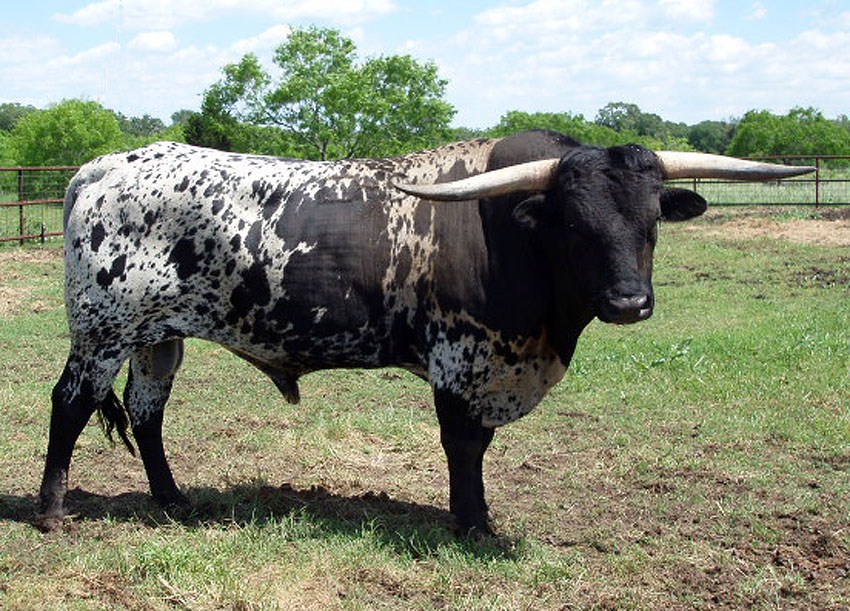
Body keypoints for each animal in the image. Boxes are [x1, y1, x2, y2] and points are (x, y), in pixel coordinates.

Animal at [36, 130, 813, 535]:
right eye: (571, 222)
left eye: (650, 218)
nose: (629, 302)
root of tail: (101, 167)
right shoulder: (462, 360)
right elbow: (464, 447)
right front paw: (473, 525)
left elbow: (479, 447)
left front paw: (475, 517)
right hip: (102, 329)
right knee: (70, 404)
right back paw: (51, 512)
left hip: (157, 336)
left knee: (147, 414)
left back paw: (173, 502)